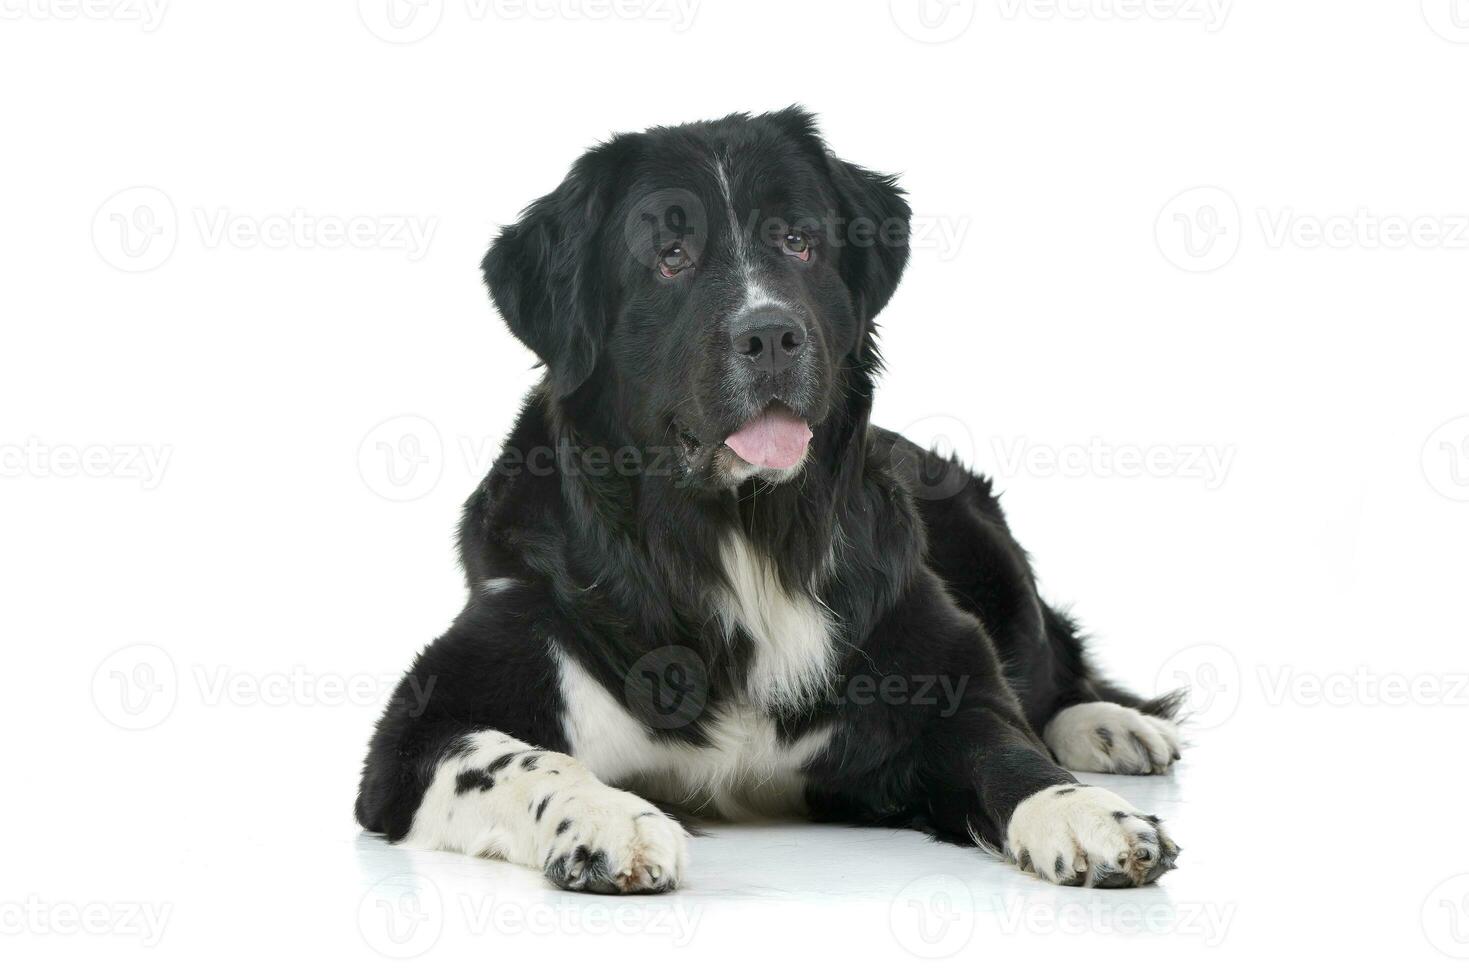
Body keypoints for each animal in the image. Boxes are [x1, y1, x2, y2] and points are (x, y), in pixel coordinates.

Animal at [352, 109, 1181, 899]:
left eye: (797, 240)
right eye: (670, 255)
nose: (771, 333)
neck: (738, 538)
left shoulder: (941, 659)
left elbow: (1005, 745)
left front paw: (1084, 815)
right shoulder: (426, 721)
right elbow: (512, 759)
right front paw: (610, 821)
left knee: (1051, 665)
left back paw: (1112, 727)